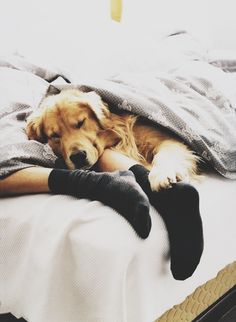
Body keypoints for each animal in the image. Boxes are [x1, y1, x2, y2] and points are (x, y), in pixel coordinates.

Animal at [25, 89, 199, 190]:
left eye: (81, 122)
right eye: (55, 136)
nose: (78, 157)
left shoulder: (167, 139)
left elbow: (165, 155)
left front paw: (161, 175)